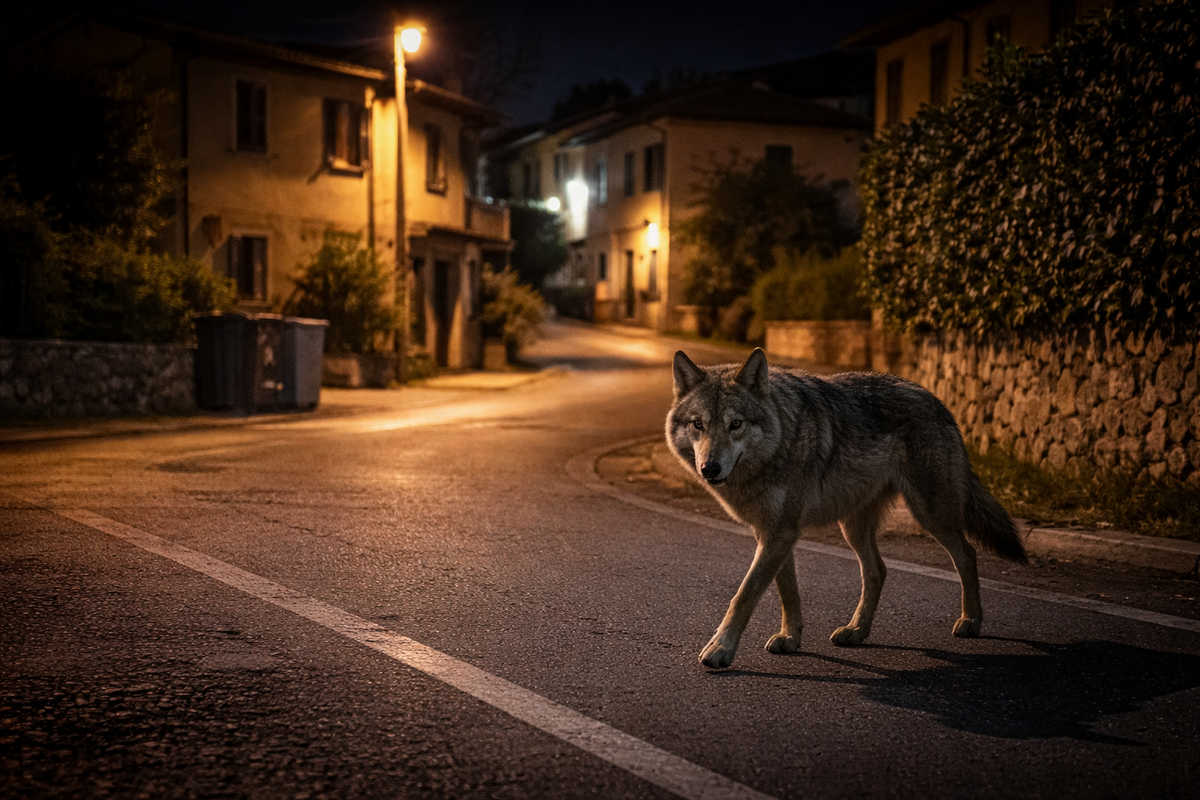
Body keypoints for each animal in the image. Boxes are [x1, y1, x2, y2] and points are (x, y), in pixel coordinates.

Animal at [666, 348, 1027, 669]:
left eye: (735, 424)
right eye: (698, 424)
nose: (709, 468)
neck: (779, 442)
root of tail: (936, 399)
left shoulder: (780, 533)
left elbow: (745, 594)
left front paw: (720, 649)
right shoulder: (774, 533)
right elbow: (787, 591)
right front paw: (790, 638)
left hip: (931, 514)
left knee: (967, 554)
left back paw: (971, 621)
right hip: (853, 526)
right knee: (877, 570)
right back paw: (856, 631)